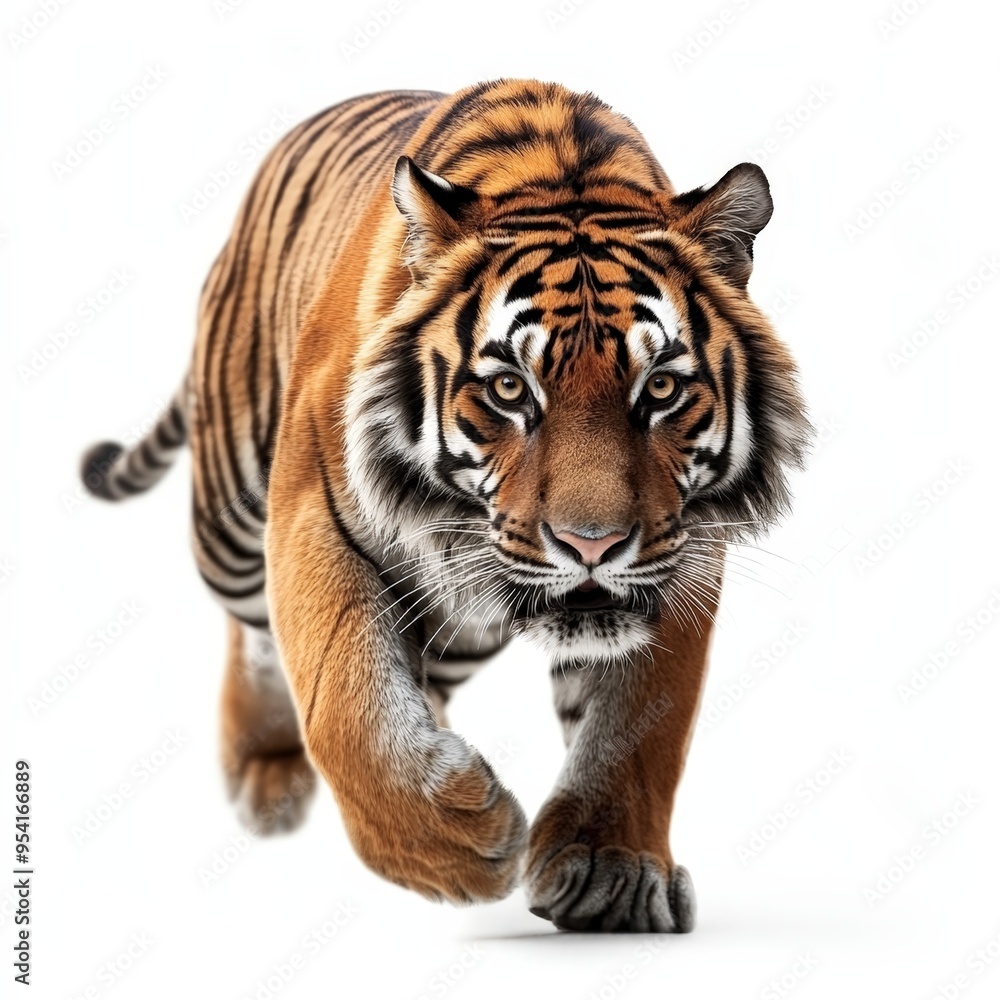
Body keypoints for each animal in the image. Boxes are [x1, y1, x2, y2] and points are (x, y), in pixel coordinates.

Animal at [81, 79, 809, 932]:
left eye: (660, 387)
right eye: (510, 390)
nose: (592, 546)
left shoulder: (681, 553)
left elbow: (642, 723)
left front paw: (614, 868)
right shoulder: (313, 515)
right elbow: (342, 697)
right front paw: (452, 842)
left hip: (464, 626)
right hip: (229, 519)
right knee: (254, 629)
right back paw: (266, 768)